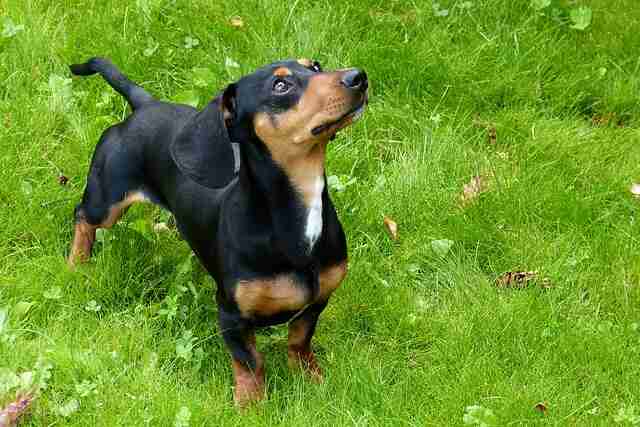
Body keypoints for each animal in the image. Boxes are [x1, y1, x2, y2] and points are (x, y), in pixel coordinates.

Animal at [67, 56, 368, 404]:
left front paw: (311, 377)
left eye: (316, 66)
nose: (359, 77)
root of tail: (146, 105)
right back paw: (77, 261)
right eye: (281, 85)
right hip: (106, 201)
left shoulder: (317, 302)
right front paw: (251, 405)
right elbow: (250, 363)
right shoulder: (230, 315)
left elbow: (299, 341)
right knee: (82, 217)